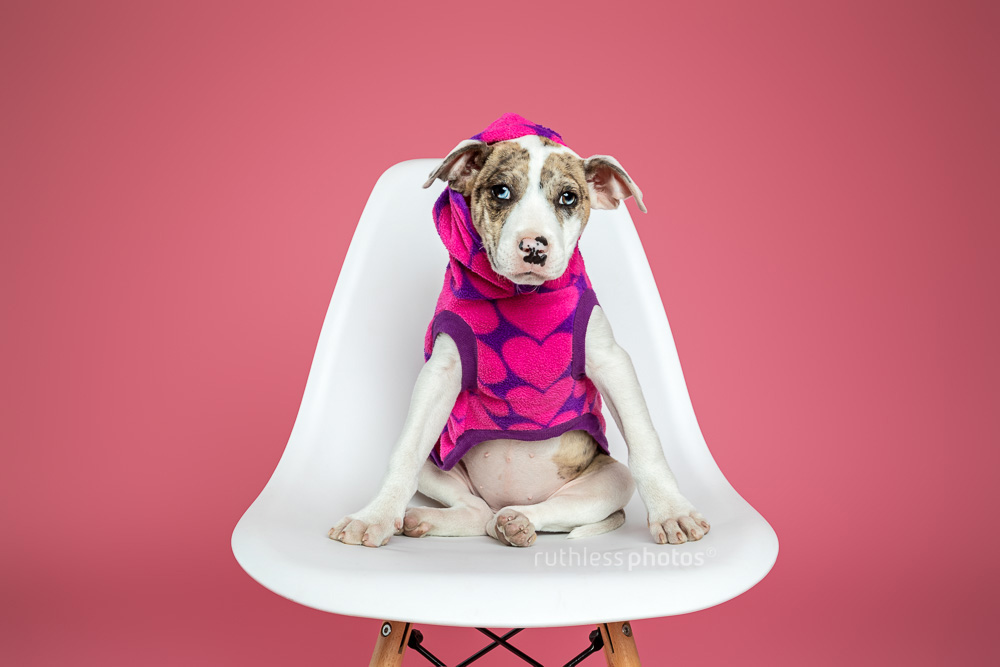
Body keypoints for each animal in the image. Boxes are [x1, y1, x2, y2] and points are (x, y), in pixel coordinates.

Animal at [332, 115, 708, 552]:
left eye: (568, 198)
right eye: (501, 191)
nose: (533, 247)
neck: (522, 297)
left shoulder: (612, 362)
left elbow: (646, 442)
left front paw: (672, 512)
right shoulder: (440, 375)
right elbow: (404, 452)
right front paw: (373, 517)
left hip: (610, 478)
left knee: (546, 511)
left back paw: (517, 523)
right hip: (439, 459)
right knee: (475, 511)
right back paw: (428, 519)